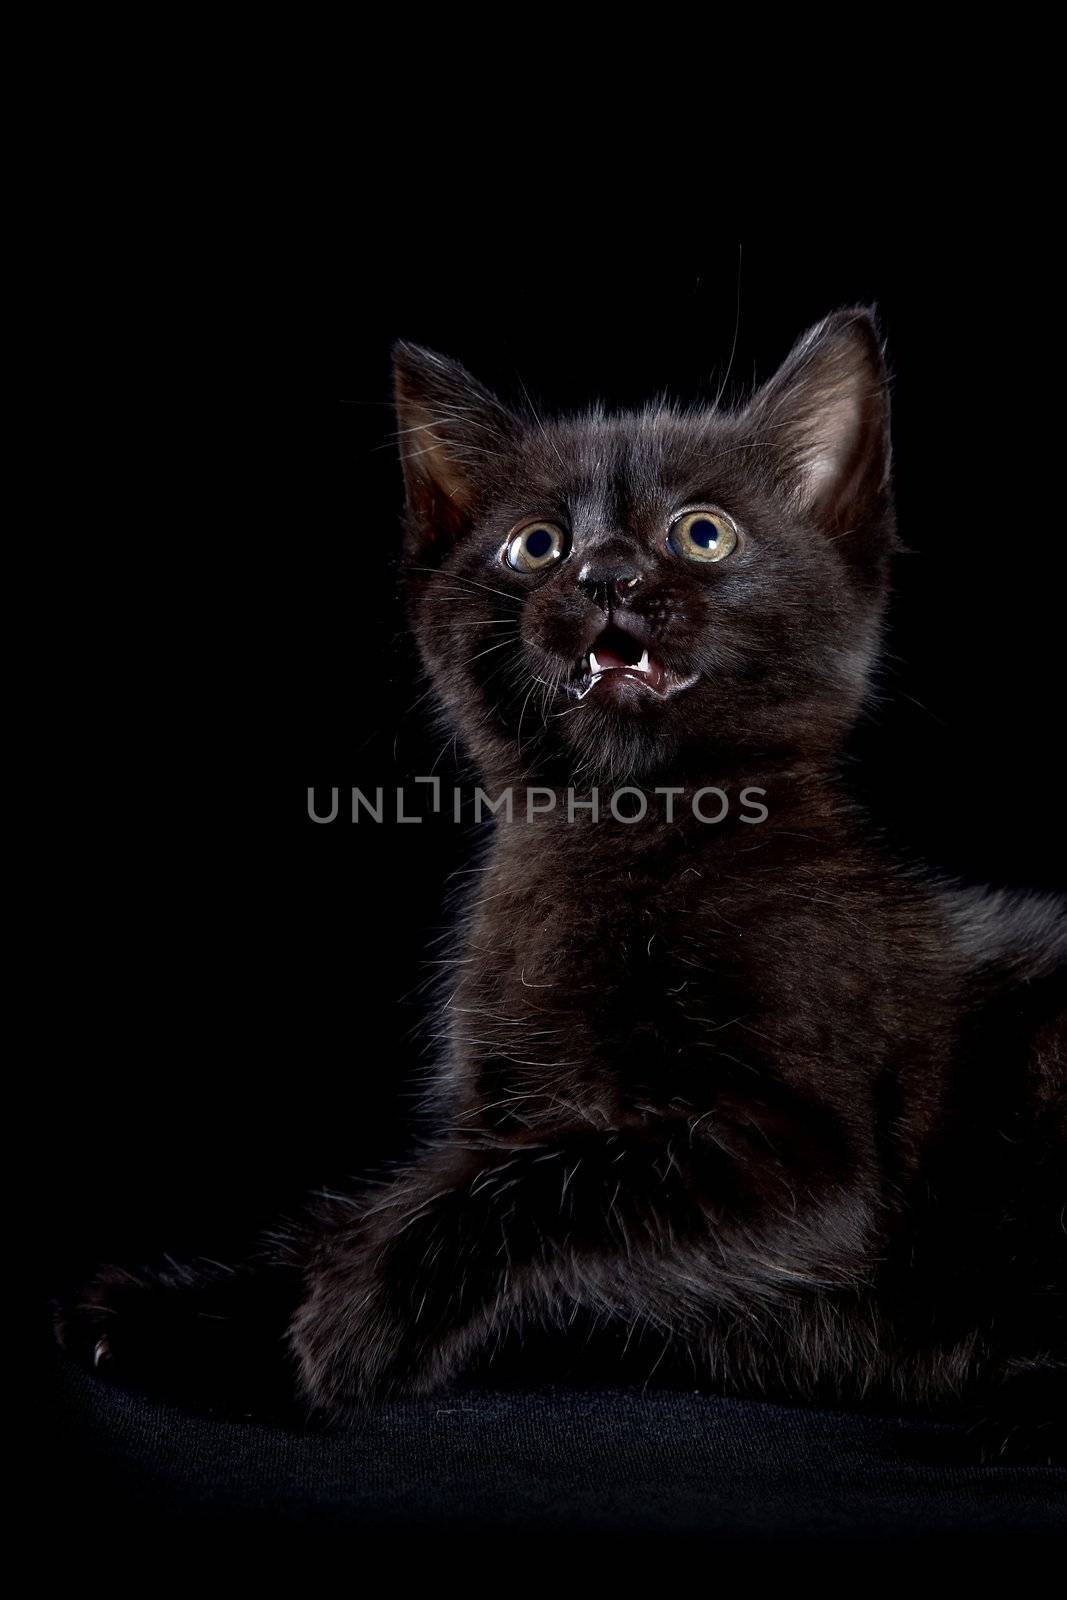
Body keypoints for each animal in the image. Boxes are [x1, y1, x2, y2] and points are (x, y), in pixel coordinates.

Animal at [56, 308, 1067, 1452]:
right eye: (536, 544)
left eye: (701, 534)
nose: (605, 577)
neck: (622, 835)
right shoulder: (501, 1107)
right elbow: (402, 1192)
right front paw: (188, 1305)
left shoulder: (807, 1157)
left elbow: (548, 1177)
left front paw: (350, 1320)